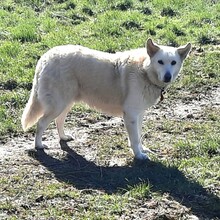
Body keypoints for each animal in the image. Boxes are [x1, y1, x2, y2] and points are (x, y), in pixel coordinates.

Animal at [21, 39, 191, 160]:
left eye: (173, 63)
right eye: (160, 62)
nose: (167, 77)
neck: (145, 71)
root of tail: (45, 57)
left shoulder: (139, 114)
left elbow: (139, 135)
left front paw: (142, 150)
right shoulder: (130, 115)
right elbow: (135, 139)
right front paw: (139, 155)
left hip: (65, 104)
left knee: (58, 121)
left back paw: (63, 137)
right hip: (58, 104)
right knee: (41, 123)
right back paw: (39, 145)